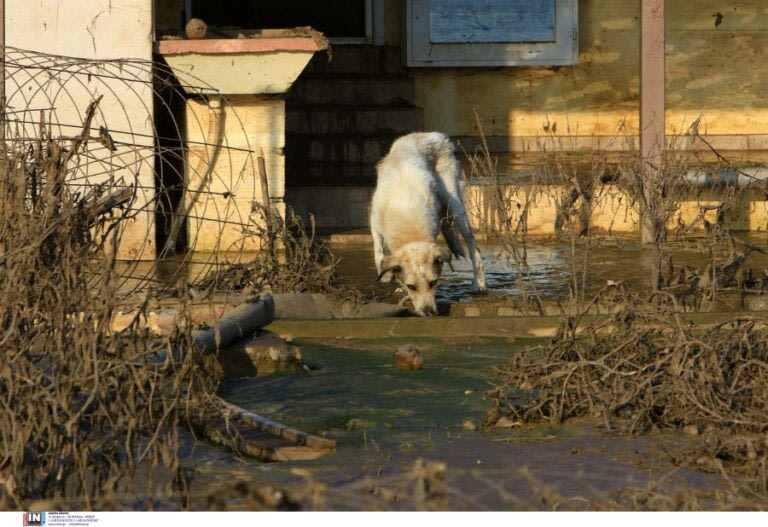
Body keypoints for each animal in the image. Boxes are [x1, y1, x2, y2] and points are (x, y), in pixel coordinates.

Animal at [370, 131, 486, 318]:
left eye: (433, 283)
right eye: (411, 286)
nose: (429, 312)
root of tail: (433, 135)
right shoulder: (374, 222)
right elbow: (379, 253)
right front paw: (388, 276)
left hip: (454, 203)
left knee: (473, 247)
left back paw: (480, 283)